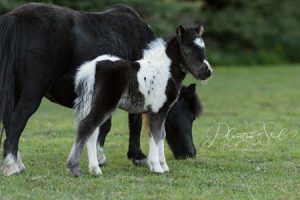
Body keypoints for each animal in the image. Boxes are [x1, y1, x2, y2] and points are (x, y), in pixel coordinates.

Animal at [69, 25, 211, 177]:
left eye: (203, 48)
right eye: (187, 50)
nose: (207, 72)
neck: (164, 71)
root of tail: (93, 67)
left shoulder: (162, 111)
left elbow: (161, 135)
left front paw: (163, 165)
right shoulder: (156, 111)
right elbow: (155, 135)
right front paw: (156, 167)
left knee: (92, 131)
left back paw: (95, 169)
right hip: (104, 103)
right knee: (86, 126)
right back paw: (76, 168)